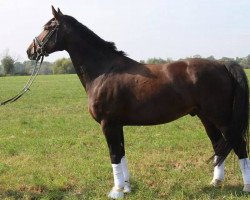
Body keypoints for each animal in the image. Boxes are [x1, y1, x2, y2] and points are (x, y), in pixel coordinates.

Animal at [26, 6, 249, 198]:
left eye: (48, 27)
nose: (30, 50)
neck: (104, 71)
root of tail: (223, 64)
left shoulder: (108, 124)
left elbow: (114, 155)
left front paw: (116, 192)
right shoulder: (117, 124)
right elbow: (122, 154)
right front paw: (126, 187)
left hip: (222, 118)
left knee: (239, 145)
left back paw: (246, 186)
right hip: (207, 118)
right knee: (219, 145)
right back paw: (216, 182)